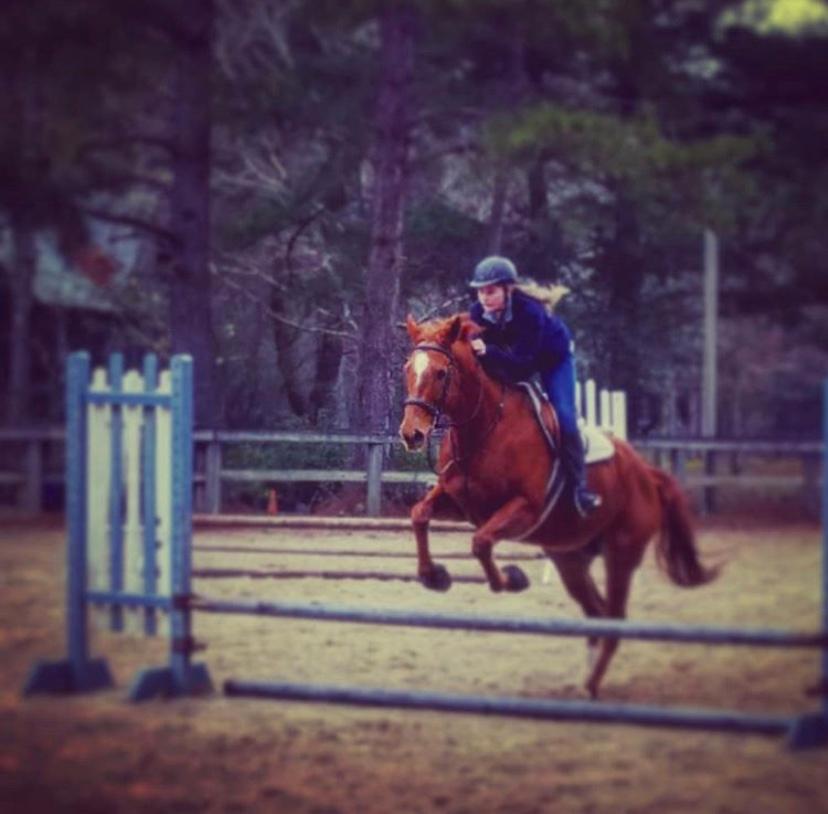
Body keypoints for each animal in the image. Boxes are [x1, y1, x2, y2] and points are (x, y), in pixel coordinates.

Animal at [398, 312, 716, 700]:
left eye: (442, 373)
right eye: (407, 368)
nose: (411, 434)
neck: (483, 429)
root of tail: (647, 474)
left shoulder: (524, 509)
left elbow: (482, 542)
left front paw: (512, 578)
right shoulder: (459, 503)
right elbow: (420, 515)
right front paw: (434, 575)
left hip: (621, 552)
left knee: (614, 617)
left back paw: (592, 685)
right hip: (570, 557)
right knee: (596, 611)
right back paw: (589, 677)